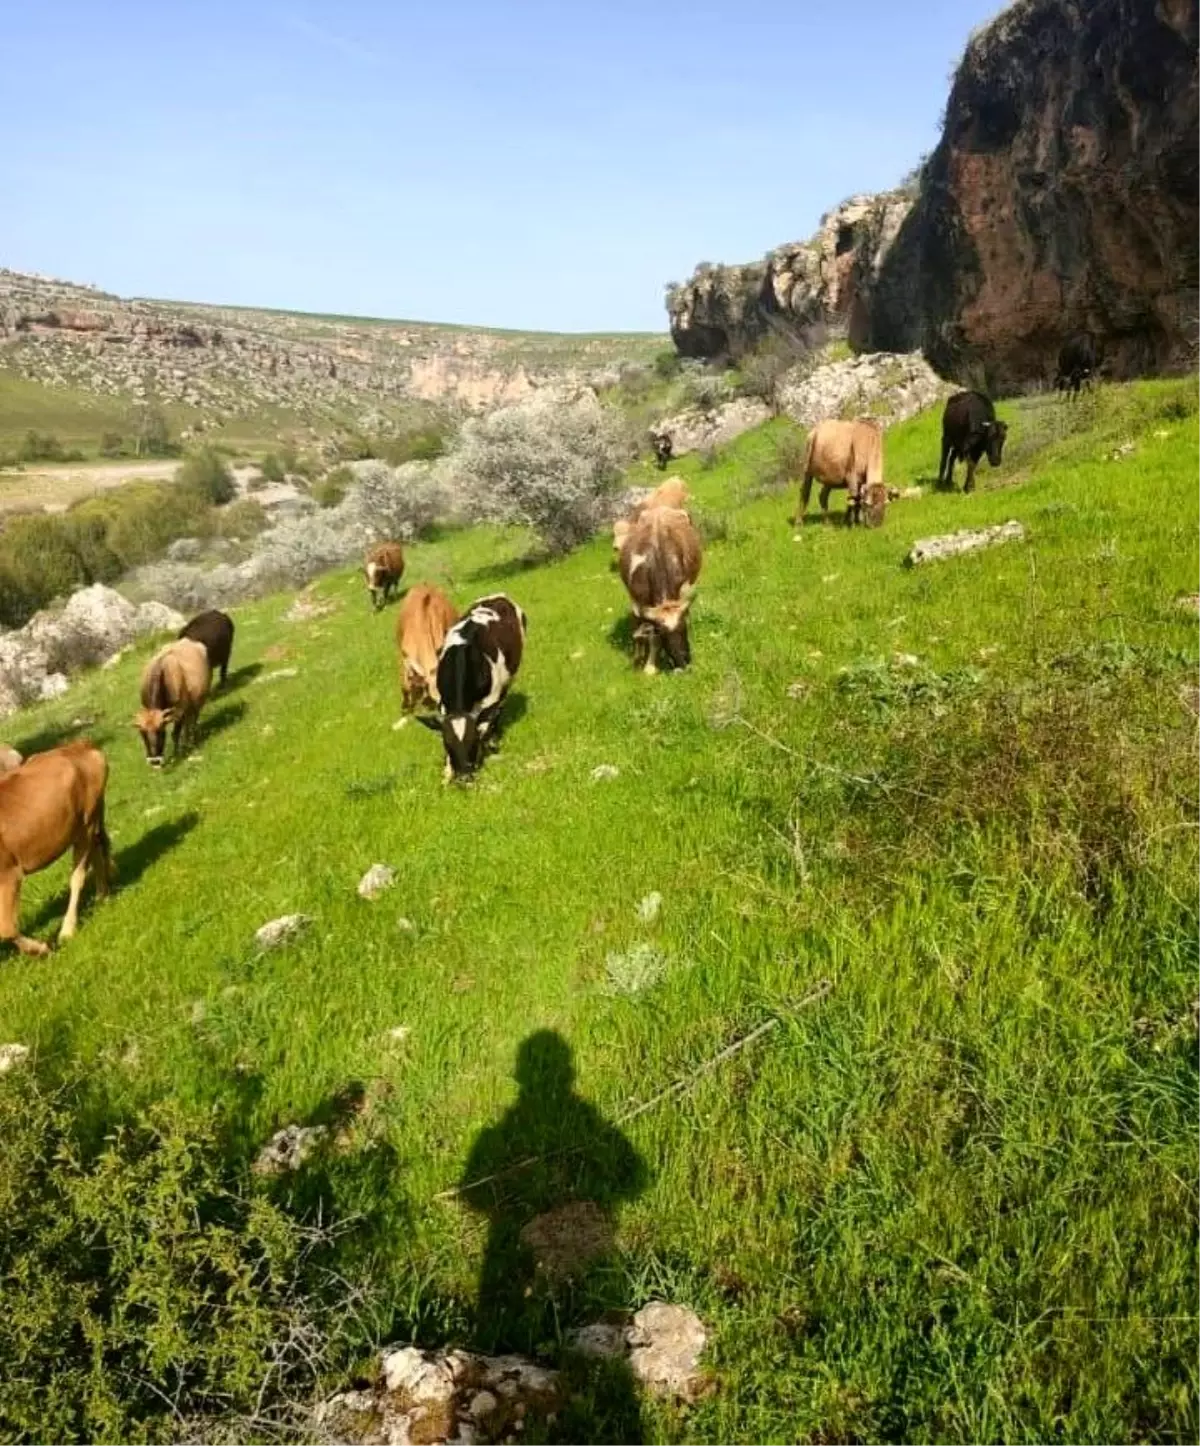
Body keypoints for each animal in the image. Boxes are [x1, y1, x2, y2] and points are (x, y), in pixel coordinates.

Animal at [0, 740, 114, 954]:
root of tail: (80, 745)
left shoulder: (9, 873)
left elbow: (6, 928)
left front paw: (40, 948)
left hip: (85, 825)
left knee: (78, 877)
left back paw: (68, 929)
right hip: (90, 823)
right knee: (97, 852)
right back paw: (102, 897)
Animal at [419, 595, 529, 786]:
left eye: (473, 742)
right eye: (447, 744)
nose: (464, 777)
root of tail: (499, 596)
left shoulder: (491, 699)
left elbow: (485, 725)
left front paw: (487, 750)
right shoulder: (443, 704)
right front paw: (447, 773)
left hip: (509, 678)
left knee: (499, 708)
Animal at [618, 506, 705, 673]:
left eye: (683, 628)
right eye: (663, 634)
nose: (683, 663)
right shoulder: (638, 603)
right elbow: (649, 637)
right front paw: (649, 666)